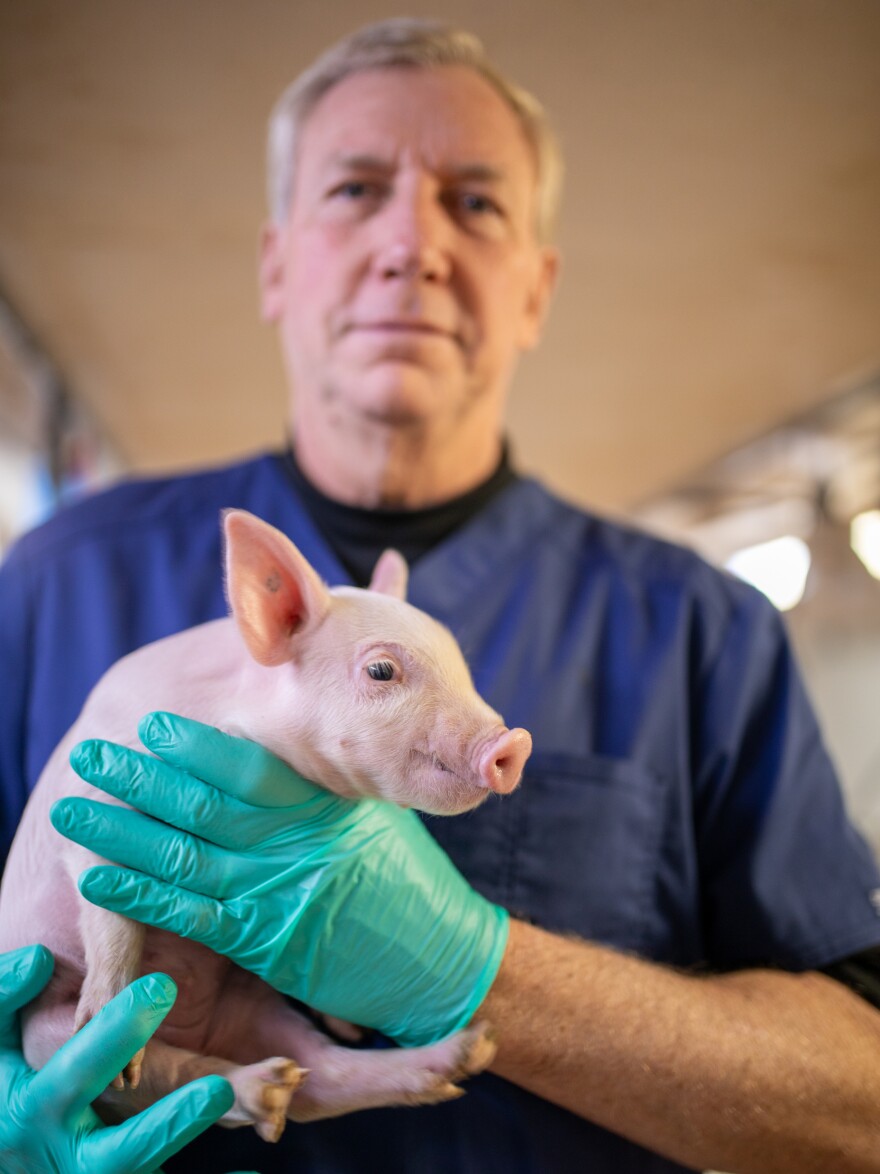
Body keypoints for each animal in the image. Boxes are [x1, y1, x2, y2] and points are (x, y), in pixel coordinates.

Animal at [0, 509, 531, 1142]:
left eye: (462, 668)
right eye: (382, 670)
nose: (515, 742)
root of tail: (202, 1026)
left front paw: (348, 1019)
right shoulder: (96, 803)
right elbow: (108, 906)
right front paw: (107, 1013)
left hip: (257, 1009)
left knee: (318, 1080)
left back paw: (457, 1053)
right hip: (45, 1043)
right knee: (160, 1080)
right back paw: (182, 1069)